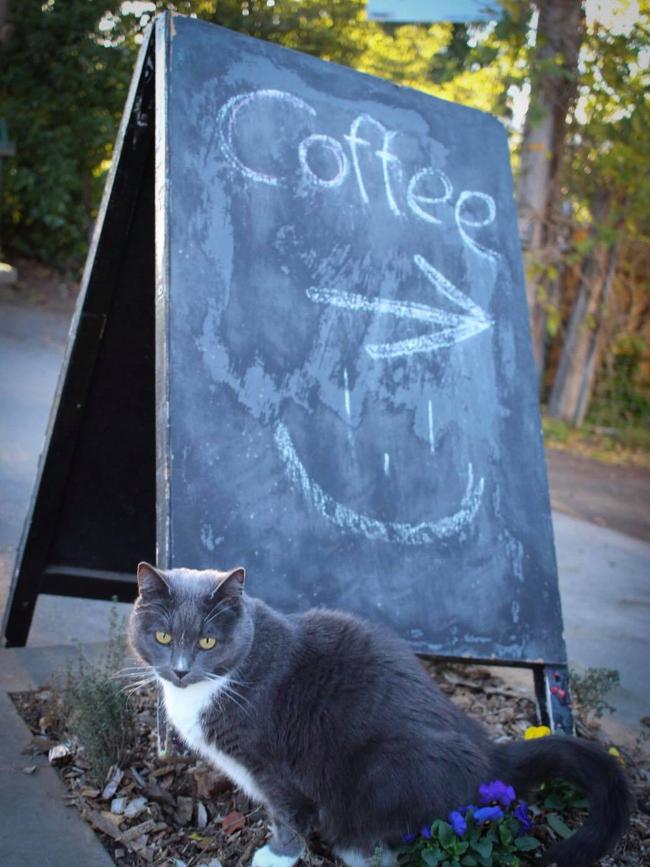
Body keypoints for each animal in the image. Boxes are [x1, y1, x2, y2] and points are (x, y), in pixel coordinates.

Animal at [129, 564, 632, 867]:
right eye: (162, 636)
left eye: (208, 642)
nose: (180, 669)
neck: (220, 682)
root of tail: (493, 754)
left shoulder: (275, 767)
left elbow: (289, 814)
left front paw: (275, 855)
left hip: (379, 773)